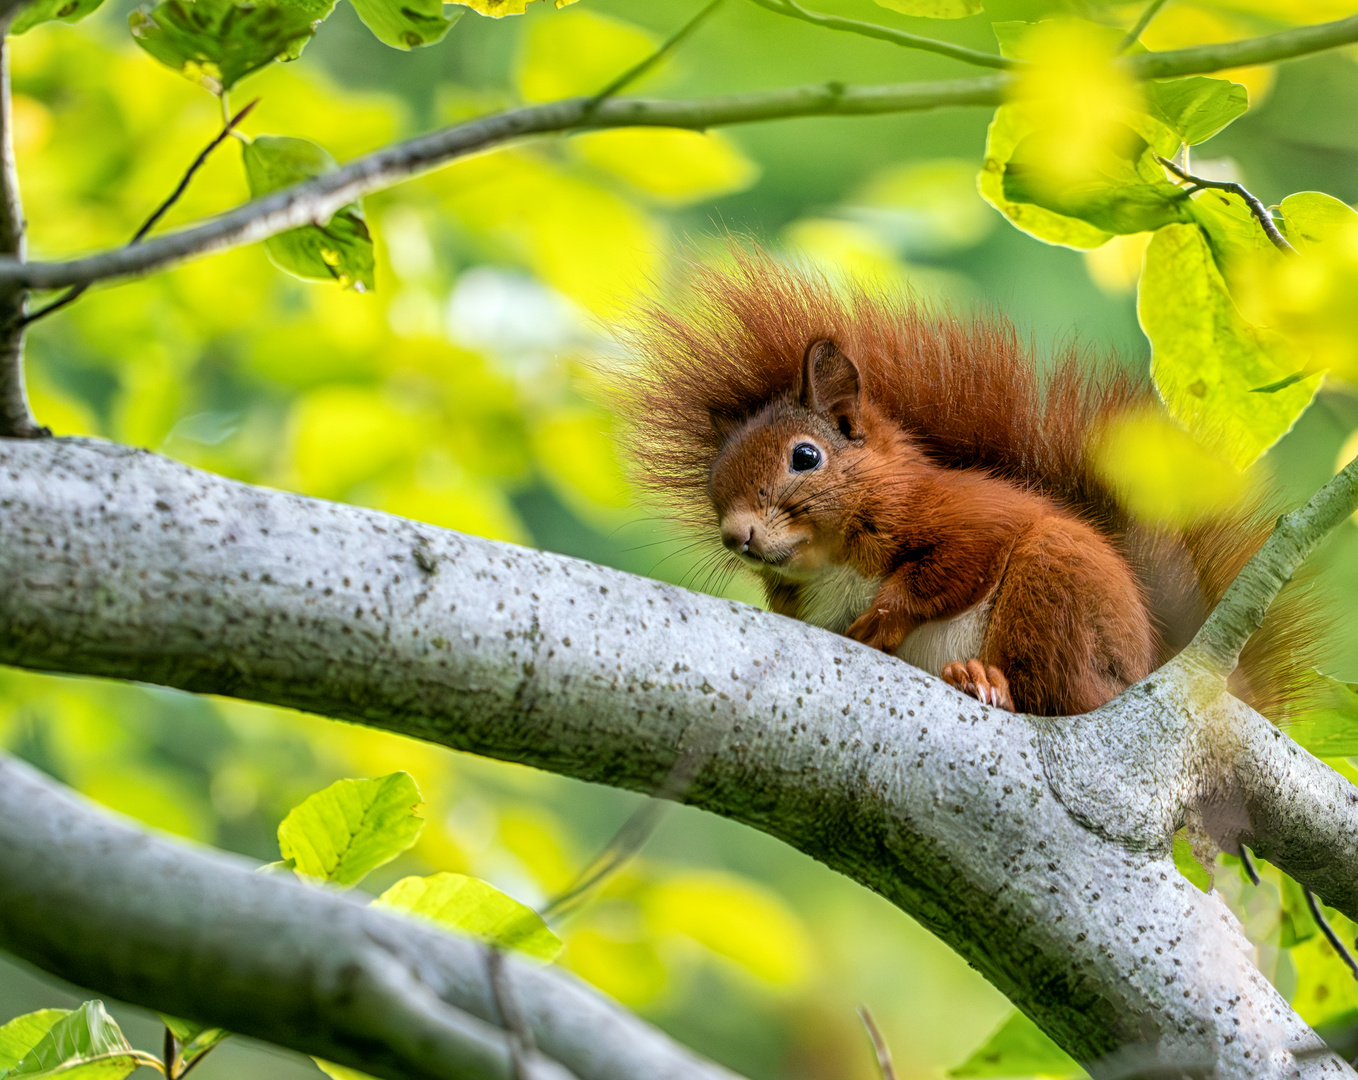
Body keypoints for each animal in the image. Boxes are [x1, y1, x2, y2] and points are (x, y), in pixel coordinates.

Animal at [621, 251, 1319, 717]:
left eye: (805, 456)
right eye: (714, 482)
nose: (736, 534)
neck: (830, 562)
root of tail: (1152, 666)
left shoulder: (961, 512)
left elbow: (954, 565)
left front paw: (881, 617)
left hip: (1057, 587)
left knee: (1057, 694)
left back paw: (988, 682)